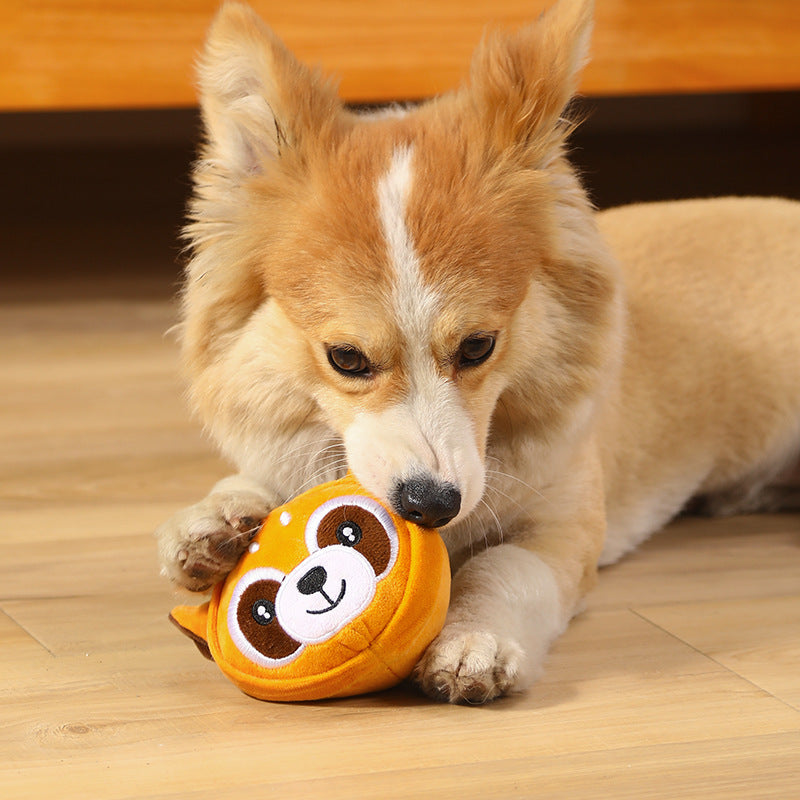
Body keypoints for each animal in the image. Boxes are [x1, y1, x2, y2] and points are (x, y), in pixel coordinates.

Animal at [156, 0, 800, 700]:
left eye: (477, 346)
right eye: (346, 358)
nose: (432, 507)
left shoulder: (560, 532)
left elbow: (502, 571)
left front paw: (473, 645)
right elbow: (247, 484)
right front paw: (213, 525)